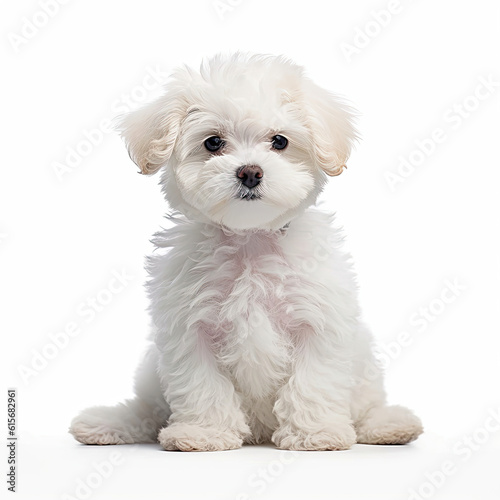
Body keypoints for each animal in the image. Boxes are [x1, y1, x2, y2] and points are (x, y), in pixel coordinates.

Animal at [69, 52, 422, 452]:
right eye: (213, 142)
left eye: (280, 141)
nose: (250, 172)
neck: (250, 238)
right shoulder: (190, 329)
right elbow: (203, 385)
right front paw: (204, 433)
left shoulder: (317, 322)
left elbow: (312, 381)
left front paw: (315, 433)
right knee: (146, 409)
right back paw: (105, 422)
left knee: (368, 407)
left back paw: (390, 425)